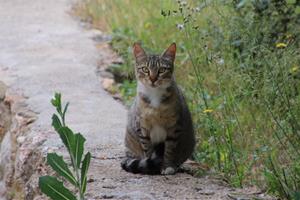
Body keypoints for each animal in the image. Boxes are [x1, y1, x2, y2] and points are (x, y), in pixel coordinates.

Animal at [120, 42, 196, 175]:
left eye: (162, 70)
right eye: (145, 69)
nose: (153, 79)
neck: (154, 96)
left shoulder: (174, 127)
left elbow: (170, 150)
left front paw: (167, 167)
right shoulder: (142, 127)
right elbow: (148, 149)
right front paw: (151, 165)